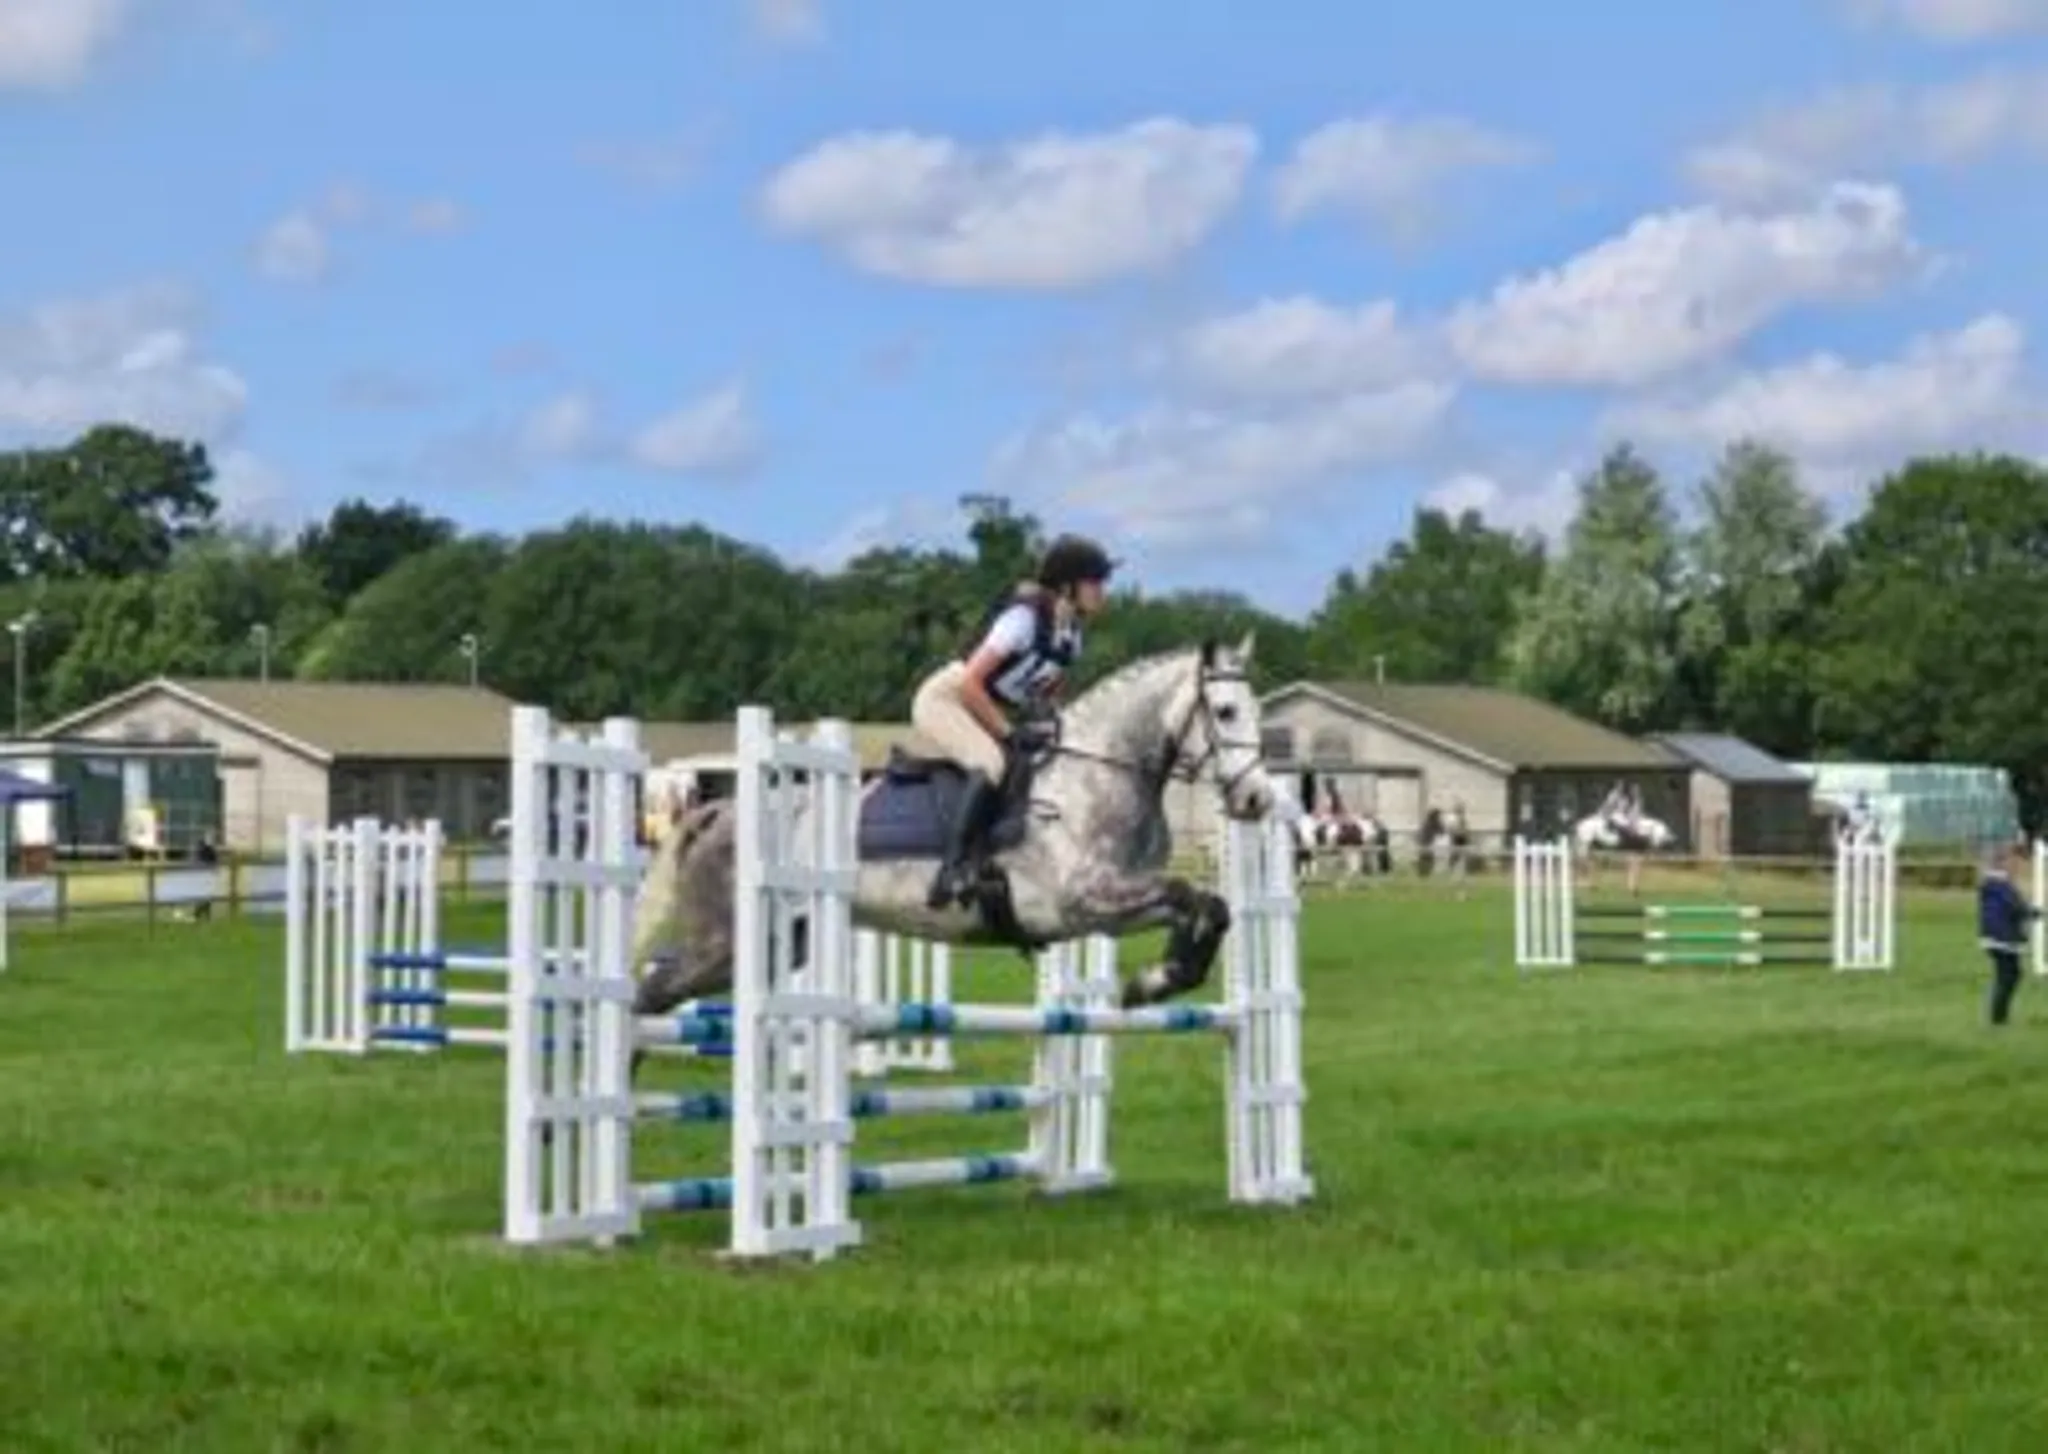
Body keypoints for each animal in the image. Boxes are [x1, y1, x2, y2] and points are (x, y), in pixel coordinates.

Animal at [627, 635, 1278, 1022]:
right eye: (1226, 713)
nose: (1257, 798)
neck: (1098, 772)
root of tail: (717, 811)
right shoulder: (1082, 900)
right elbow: (1189, 894)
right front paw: (1153, 981)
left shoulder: (1113, 905)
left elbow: (1210, 906)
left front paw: (1158, 980)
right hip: (724, 939)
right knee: (648, 992)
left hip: (770, 942)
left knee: (659, 984)